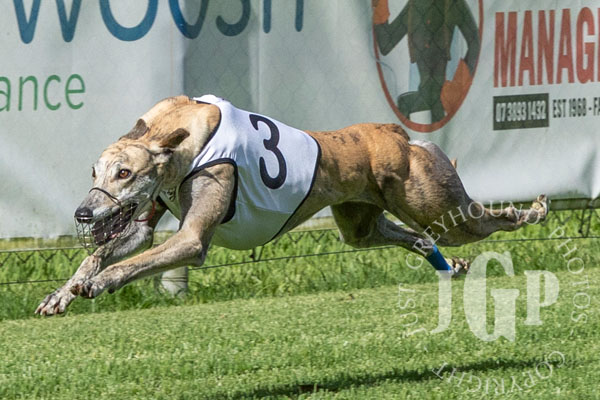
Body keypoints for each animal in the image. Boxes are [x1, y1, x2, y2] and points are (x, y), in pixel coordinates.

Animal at [36, 95, 548, 315]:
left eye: (125, 173)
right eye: (95, 173)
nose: (83, 214)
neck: (178, 131)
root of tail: (397, 134)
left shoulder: (192, 238)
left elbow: (133, 262)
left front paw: (97, 285)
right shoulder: (146, 220)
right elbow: (107, 251)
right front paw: (61, 293)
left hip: (438, 206)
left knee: (484, 220)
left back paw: (531, 211)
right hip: (361, 225)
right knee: (414, 238)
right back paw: (450, 264)